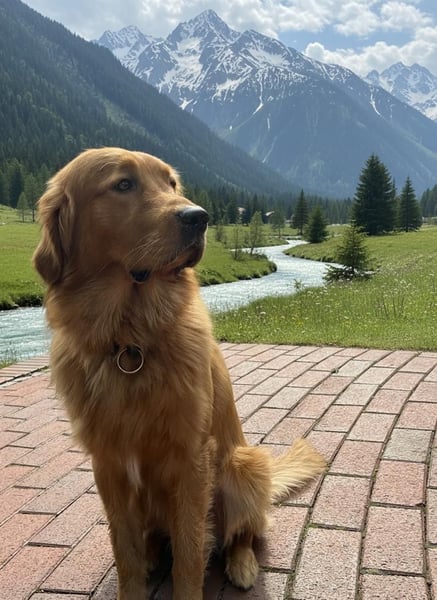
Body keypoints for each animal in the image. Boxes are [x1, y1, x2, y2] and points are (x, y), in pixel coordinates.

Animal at [33, 147, 326, 600]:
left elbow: (190, 552)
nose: (198, 217)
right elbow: (125, 553)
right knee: (154, 538)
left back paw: (242, 565)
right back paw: (155, 552)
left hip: (242, 466)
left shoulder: (191, 459)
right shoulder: (107, 464)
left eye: (171, 184)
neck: (130, 342)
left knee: (242, 533)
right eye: (123, 184)